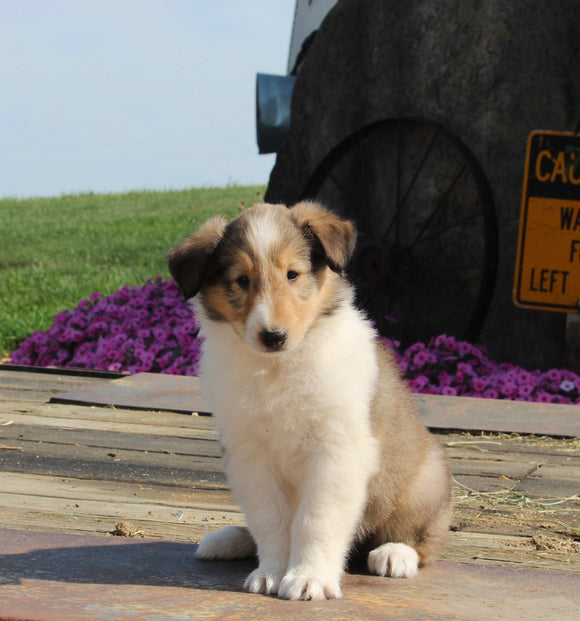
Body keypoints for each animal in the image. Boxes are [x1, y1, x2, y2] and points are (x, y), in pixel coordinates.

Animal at [168, 201, 454, 600]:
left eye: (293, 274)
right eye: (241, 280)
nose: (273, 336)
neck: (279, 367)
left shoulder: (335, 452)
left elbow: (315, 519)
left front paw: (309, 578)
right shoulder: (250, 455)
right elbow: (271, 519)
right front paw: (271, 573)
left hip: (424, 481)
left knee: (423, 539)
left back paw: (394, 554)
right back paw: (229, 540)